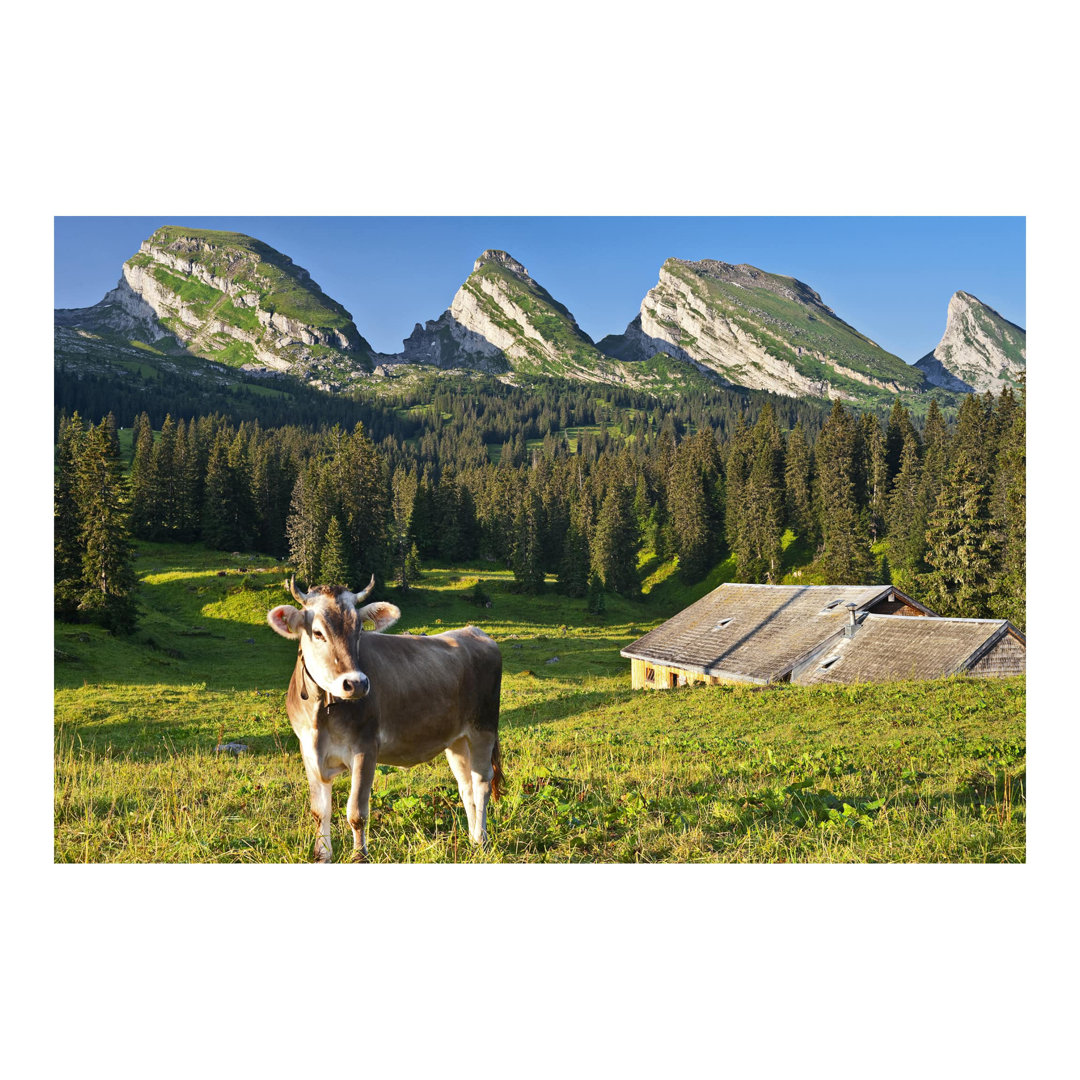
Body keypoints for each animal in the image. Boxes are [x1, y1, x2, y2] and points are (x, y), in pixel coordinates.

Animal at [266, 575, 503, 862]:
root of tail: (474, 631)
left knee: (481, 784)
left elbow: (356, 812)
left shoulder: (365, 747)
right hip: (457, 740)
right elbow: (319, 812)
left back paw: (481, 841)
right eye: (318, 632)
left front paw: (359, 857)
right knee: (466, 786)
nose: (356, 683)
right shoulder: (309, 751)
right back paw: (473, 840)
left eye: (359, 630)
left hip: (484, 728)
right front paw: (322, 856)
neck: (321, 714)